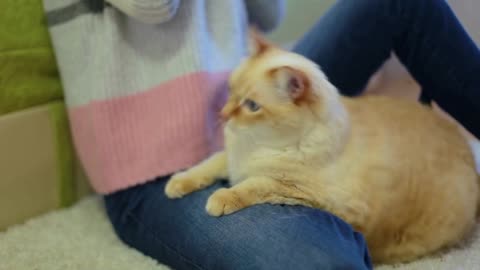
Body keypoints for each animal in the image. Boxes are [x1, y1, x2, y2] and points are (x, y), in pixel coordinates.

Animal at [164, 32, 476, 264]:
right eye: (231, 91)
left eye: (251, 106)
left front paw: (220, 198)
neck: (258, 146)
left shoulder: (301, 192)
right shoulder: (231, 158)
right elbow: (206, 165)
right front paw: (176, 184)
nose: (224, 115)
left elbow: (254, 184)